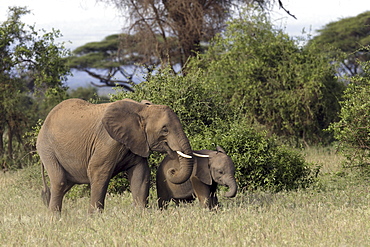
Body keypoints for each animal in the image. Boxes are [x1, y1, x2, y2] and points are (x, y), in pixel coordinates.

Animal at [36, 98, 195, 212]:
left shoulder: (136, 140)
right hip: (46, 148)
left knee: (65, 184)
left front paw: (141, 214)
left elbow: (141, 174)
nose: (173, 169)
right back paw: (54, 219)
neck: (141, 109)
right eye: (165, 129)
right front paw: (95, 219)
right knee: (59, 182)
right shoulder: (108, 141)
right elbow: (99, 172)